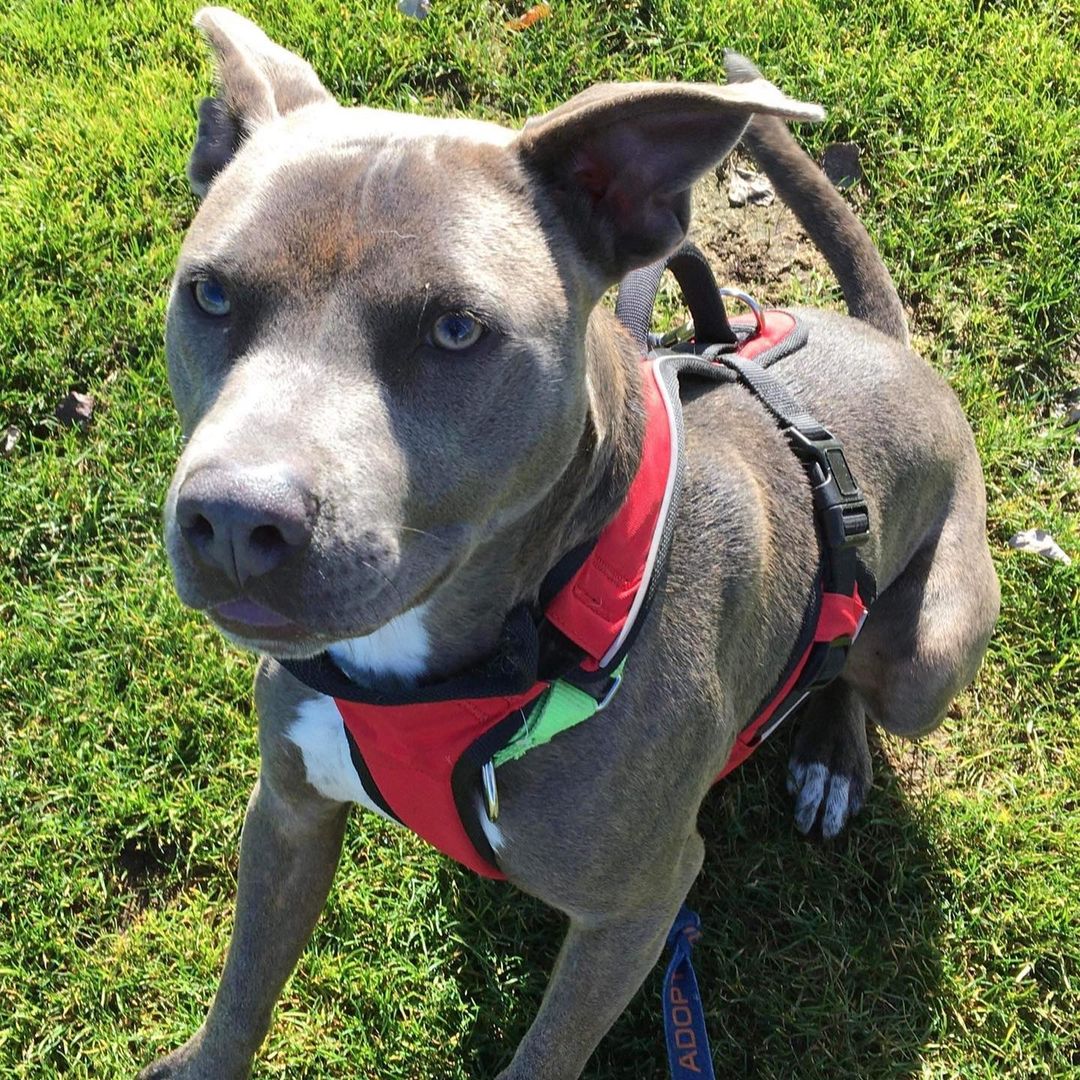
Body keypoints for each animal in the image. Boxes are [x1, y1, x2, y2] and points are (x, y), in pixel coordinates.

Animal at [141, 6, 993, 1071]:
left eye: (456, 328)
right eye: (210, 295)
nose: (232, 519)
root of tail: (894, 348)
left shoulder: (637, 911)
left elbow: (544, 1055)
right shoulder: (287, 810)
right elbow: (245, 985)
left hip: (928, 654)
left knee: (858, 661)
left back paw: (832, 755)